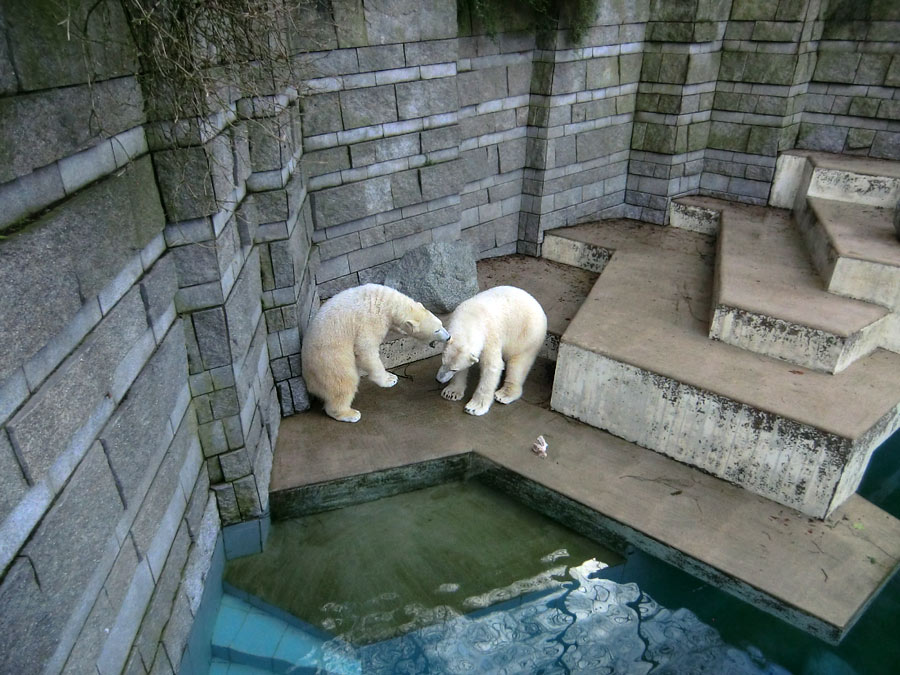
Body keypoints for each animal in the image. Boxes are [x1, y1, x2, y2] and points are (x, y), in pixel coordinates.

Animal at [300, 284, 450, 422]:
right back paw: (350, 414)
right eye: (437, 330)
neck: (385, 301)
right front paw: (389, 379)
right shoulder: (370, 320)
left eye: (441, 324)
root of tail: (310, 382)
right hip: (331, 359)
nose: (448, 337)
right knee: (344, 381)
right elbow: (366, 349)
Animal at [434, 286, 544, 418]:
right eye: (443, 362)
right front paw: (451, 393)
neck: (471, 319)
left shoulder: (490, 337)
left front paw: (474, 407)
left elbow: (492, 366)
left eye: (454, 369)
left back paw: (504, 394)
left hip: (527, 335)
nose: (438, 379)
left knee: (518, 365)